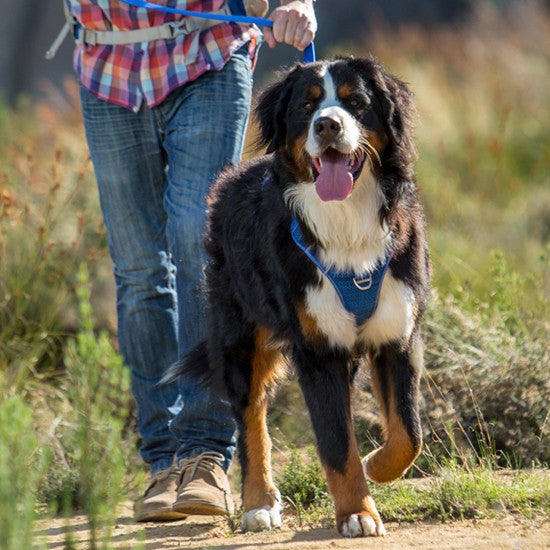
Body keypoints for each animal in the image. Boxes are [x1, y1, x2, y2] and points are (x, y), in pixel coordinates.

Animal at [164, 56, 432, 540]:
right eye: (307, 107)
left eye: (355, 102)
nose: (327, 125)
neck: (347, 222)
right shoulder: (318, 350)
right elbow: (336, 444)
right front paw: (357, 513)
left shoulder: (397, 333)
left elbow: (408, 433)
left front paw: (377, 466)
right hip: (240, 334)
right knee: (251, 416)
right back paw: (258, 503)